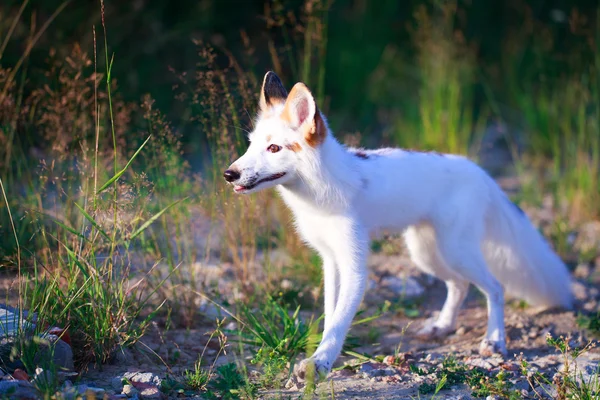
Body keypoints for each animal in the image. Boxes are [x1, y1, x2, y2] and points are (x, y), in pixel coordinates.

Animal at [223, 71, 576, 382]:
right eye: (251, 145)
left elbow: (339, 323)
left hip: (455, 251)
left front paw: (319, 364)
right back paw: (442, 326)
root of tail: (481, 172)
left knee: (495, 287)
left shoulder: (355, 266)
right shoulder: (330, 261)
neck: (320, 195)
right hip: (427, 254)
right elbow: (330, 316)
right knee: (459, 286)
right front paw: (319, 358)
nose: (229, 174)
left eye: (274, 148)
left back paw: (494, 340)